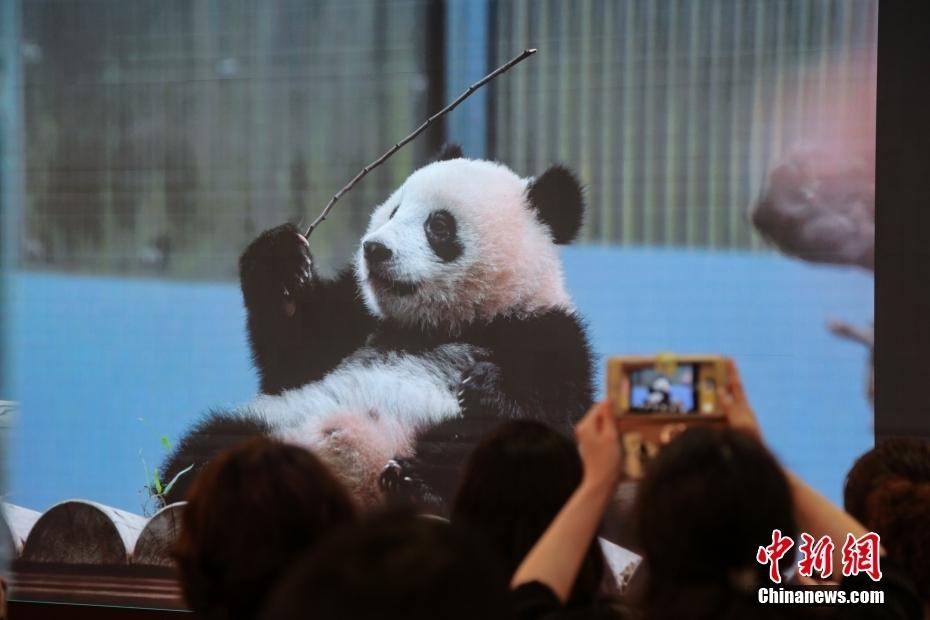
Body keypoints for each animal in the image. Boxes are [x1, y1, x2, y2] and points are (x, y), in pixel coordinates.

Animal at [160, 148, 596, 512]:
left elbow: (559, 410)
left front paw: (486, 387)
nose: (375, 249)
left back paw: (417, 487)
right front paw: (281, 262)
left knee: (473, 449)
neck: (440, 324)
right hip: (276, 422)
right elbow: (292, 357)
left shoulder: (548, 331)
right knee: (206, 447)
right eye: (394, 210)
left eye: (439, 225)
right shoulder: (357, 318)